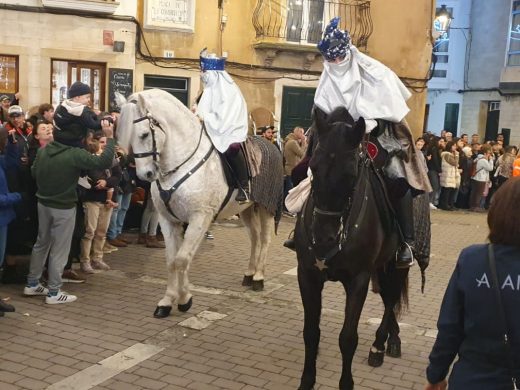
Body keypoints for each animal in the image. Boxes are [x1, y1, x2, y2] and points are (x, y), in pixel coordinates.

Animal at [117, 90, 282, 318]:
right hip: (246, 209)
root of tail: (271, 145)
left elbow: (182, 259)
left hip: (266, 207)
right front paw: (167, 301)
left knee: (265, 240)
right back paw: (249, 274)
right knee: (255, 238)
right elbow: (172, 260)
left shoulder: (200, 217)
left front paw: (184, 299)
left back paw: (258, 278)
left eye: (143, 134)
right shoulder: (168, 220)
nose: (146, 174)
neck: (179, 164)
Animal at [296, 106, 410, 390]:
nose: (323, 239)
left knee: (391, 299)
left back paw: (380, 346)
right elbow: (310, 332)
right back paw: (391, 340)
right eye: (313, 167)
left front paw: (346, 383)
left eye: (350, 173)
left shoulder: (358, 279)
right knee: (386, 297)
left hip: (395, 265)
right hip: (380, 268)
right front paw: (307, 380)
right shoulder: (308, 275)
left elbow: (348, 338)